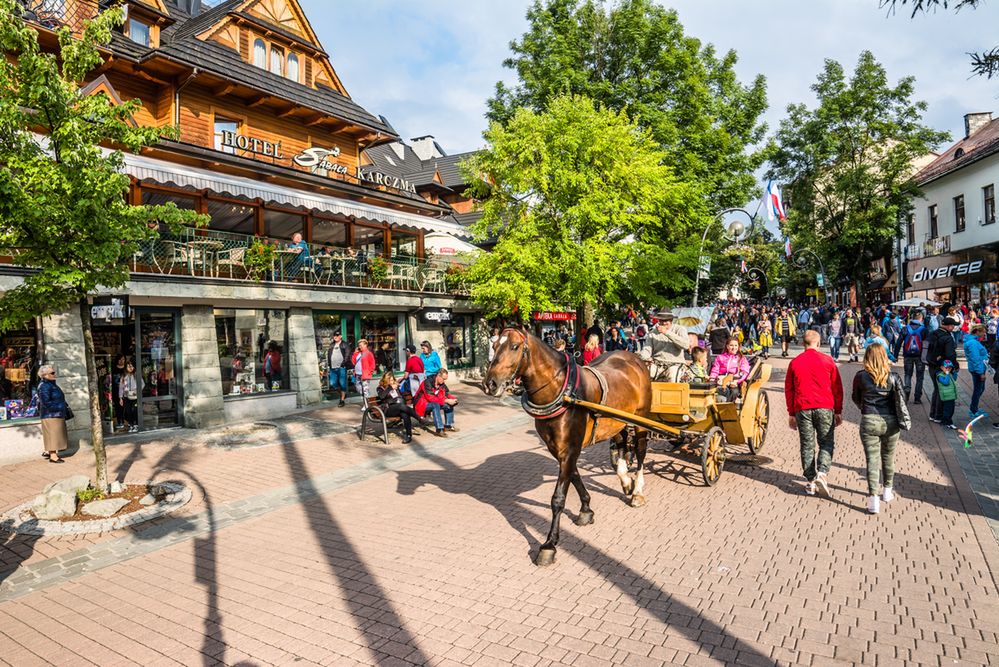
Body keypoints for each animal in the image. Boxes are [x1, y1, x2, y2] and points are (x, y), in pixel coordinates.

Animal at [480, 326, 652, 568]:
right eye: (494, 345)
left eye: (514, 346)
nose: (490, 384)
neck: (561, 392)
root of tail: (634, 357)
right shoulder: (559, 448)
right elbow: (575, 476)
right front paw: (586, 509)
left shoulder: (570, 448)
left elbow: (558, 497)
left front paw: (549, 544)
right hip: (615, 419)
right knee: (620, 442)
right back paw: (626, 480)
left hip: (641, 418)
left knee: (640, 450)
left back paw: (637, 491)